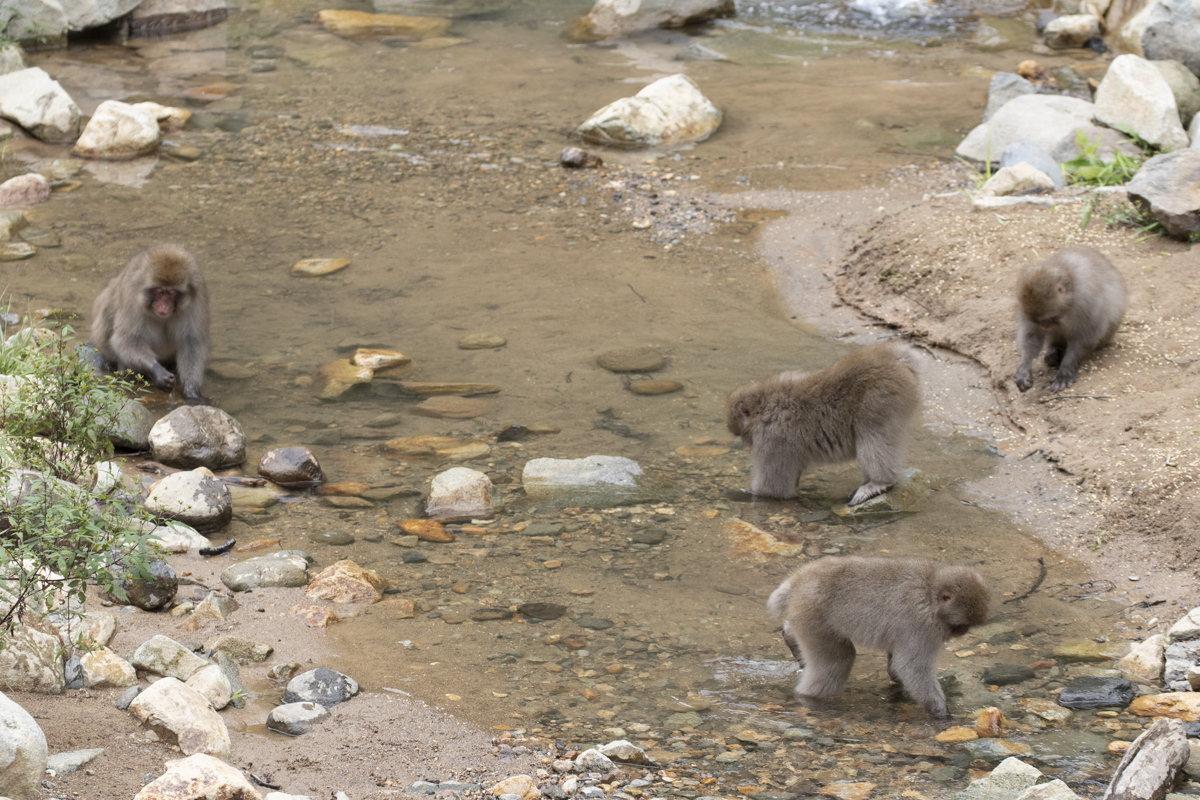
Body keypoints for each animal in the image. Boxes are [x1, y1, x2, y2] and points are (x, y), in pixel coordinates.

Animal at [91, 242, 211, 407]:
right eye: (159, 290)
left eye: (172, 292)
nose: (164, 305)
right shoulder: (133, 295)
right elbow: (126, 339)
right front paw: (158, 372)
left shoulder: (197, 296)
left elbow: (192, 342)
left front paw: (192, 391)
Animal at [720, 345, 916, 506]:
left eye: (740, 433)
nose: (745, 443)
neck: (764, 405)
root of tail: (896, 356)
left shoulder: (772, 439)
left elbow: (773, 489)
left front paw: (745, 494)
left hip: (879, 398)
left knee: (873, 437)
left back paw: (879, 482)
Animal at [768, 556, 993, 719]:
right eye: (960, 626)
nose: (962, 632)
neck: (929, 592)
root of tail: (797, 580)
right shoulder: (922, 626)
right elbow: (911, 666)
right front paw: (940, 712)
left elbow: (897, 664)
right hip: (813, 615)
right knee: (838, 661)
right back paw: (809, 699)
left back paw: (789, 636)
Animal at [1012, 244, 1123, 393]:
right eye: (1038, 321)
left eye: (1051, 318)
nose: (1045, 326)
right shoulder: (1026, 310)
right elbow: (1031, 335)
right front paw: (1024, 370)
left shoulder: (1087, 302)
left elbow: (1084, 338)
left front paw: (1064, 374)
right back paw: (1054, 352)